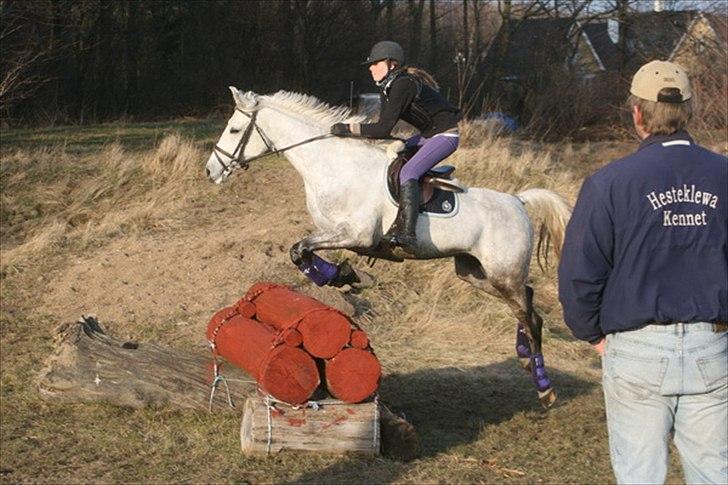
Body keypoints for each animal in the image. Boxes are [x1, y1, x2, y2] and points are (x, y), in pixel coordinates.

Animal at [203, 86, 568, 404]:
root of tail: (519, 202)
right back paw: (524, 357)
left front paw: (341, 276)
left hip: (501, 272)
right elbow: (301, 251)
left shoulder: (357, 233)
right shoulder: (332, 231)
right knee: (526, 303)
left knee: (529, 314)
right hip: (476, 273)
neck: (331, 164)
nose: (210, 171)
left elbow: (302, 248)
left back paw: (544, 387)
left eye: (234, 129)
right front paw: (342, 276)